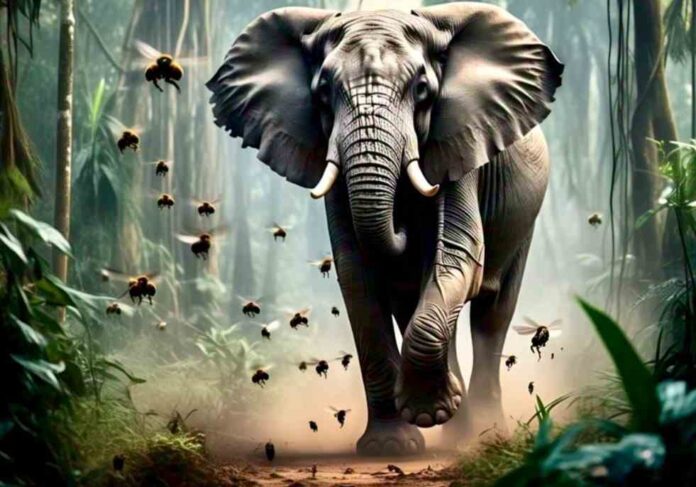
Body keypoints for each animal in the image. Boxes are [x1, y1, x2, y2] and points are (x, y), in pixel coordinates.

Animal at [207, 2, 563, 456]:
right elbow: (357, 274)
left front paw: (428, 414)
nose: (405, 223)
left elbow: (459, 257)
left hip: (525, 218)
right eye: (324, 92)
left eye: (422, 89)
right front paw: (392, 445)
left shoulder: (462, 142)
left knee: (492, 314)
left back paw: (481, 433)